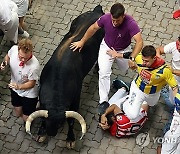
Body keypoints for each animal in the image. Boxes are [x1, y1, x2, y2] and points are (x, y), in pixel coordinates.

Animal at [37, 5, 104, 143]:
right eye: (45, 121)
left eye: (58, 123)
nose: (51, 133)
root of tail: (97, 11)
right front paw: (41, 133)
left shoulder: (76, 98)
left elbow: (72, 121)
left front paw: (70, 139)